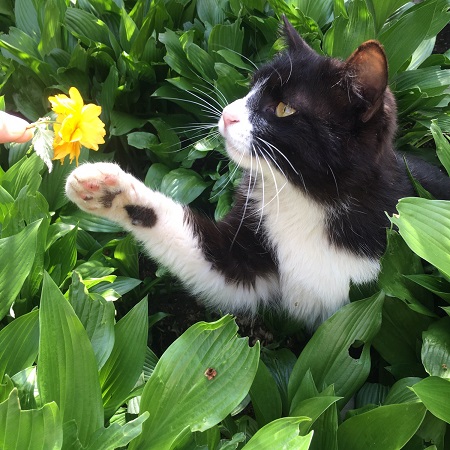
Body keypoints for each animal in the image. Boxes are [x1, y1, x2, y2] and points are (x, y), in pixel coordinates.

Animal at [66, 18, 450, 329]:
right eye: (251, 86)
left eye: (284, 108)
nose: (227, 114)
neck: (309, 198)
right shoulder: (251, 241)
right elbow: (217, 266)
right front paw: (108, 189)